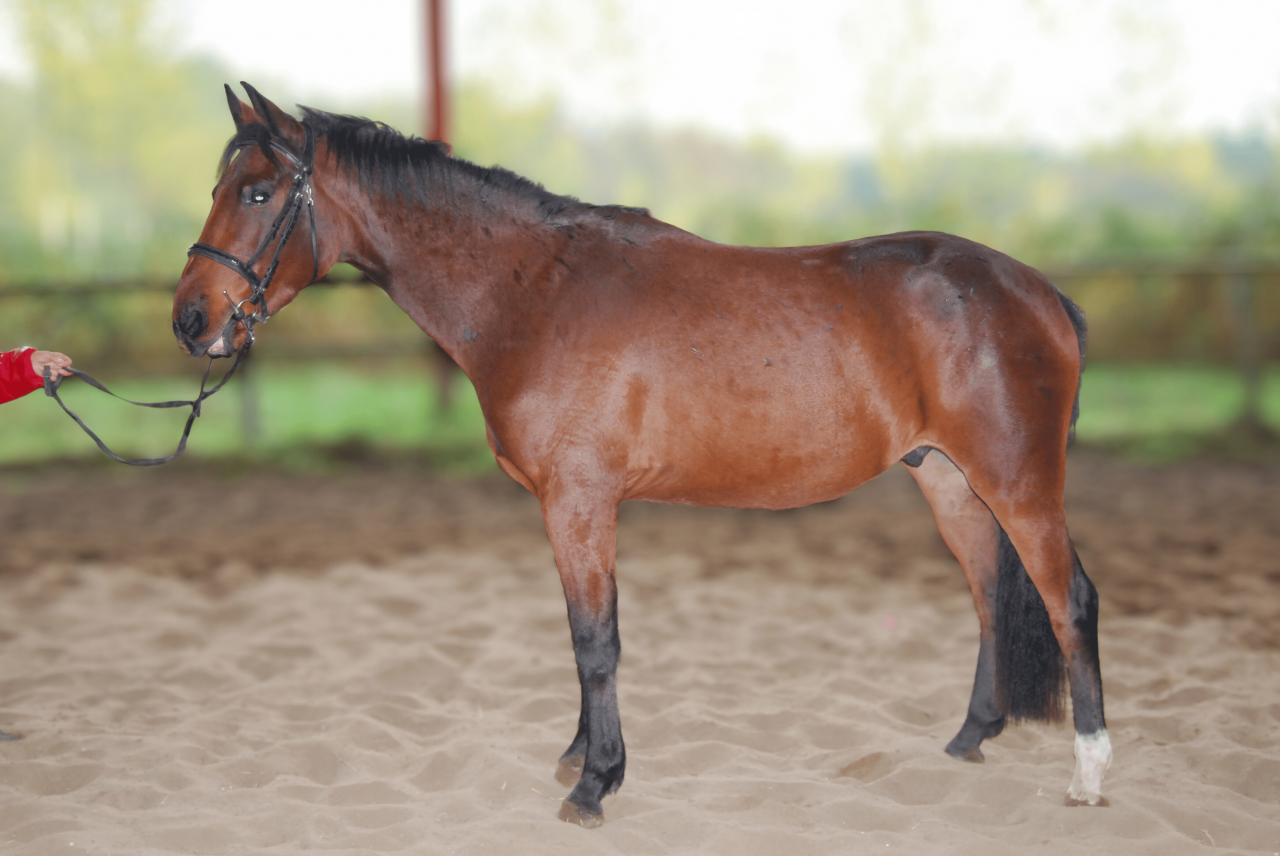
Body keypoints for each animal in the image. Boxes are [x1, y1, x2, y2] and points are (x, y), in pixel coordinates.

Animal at [172, 83, 1110, 827]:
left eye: (257, 191)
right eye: (220, 186)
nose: (191, 319)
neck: (532, 292)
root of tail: (1038, 292)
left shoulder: (579, 501)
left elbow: (596, 642)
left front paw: (595, 784)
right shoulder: (573, 508)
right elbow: (583, 635)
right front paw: (580, 756)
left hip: (1019, 484)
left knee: (1069, 602)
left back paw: (1091, 775)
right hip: (952, 483)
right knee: (991, 597)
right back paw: (967, 740)